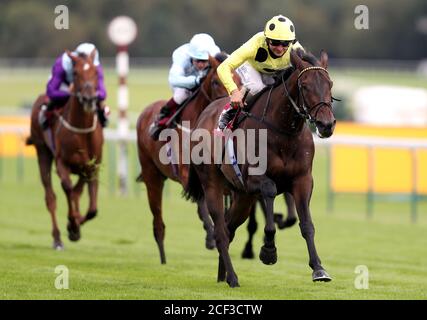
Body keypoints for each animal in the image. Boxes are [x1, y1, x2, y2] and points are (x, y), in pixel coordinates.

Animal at [27, 50, 103, 250]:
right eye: (75, 73)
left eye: (95, 72)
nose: (89, 98)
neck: (81, 130)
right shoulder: (62, 162)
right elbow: (67, 188)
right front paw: (73, 224)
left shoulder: (92, 166)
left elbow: (92, 209)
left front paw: (75, 226)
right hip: (42, 153)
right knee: (51, 197)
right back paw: (57, 239)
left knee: (76, 193)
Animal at [135, 52, 239, 264]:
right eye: (215, 81)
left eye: (239, 78)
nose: (229, 106)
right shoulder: (188, 173)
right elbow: (203, 203)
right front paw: (211, 237)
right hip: (152, 175)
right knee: (158, 223)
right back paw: (163, 260)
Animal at [186, 50, 338, 288]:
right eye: (304, 85)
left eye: (329, 83)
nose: (326, 125)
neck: (284, 132)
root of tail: (204, 113)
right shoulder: (255, 179)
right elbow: (269, 197)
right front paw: (268, 250)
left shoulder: (302, 180)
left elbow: (306, 225)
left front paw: (319, 269)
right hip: (213, 185)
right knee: (220, 231)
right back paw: (232, 277)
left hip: (242, 196)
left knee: (229, 228)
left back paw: (222, 275)